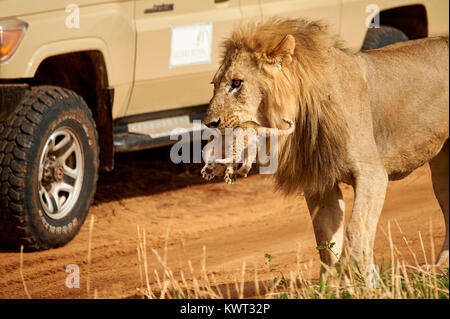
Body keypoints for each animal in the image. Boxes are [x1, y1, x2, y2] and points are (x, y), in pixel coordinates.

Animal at [202, 17, 448, 268]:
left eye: (237, 83)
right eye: (213, 84)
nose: (208, 123)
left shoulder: (373, 174)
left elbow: (356, 230)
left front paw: (359, 274)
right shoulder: (320, 184)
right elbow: (326, 244)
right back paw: (439, 267)